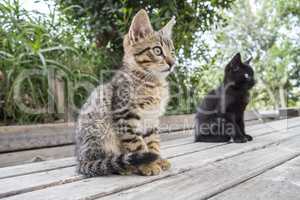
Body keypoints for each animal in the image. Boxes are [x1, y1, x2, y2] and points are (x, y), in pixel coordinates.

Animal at [75, 9, 176, 177]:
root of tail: (81, 160)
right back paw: (126, 166)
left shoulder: (151, 119)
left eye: (172, 52)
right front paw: (149, 164)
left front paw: (157, 159)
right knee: (107, 161)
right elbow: (137, 144)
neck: (152, 82)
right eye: (157, 51)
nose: (173, 63)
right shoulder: (125, 116)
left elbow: (153, 141)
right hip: (100, 133)